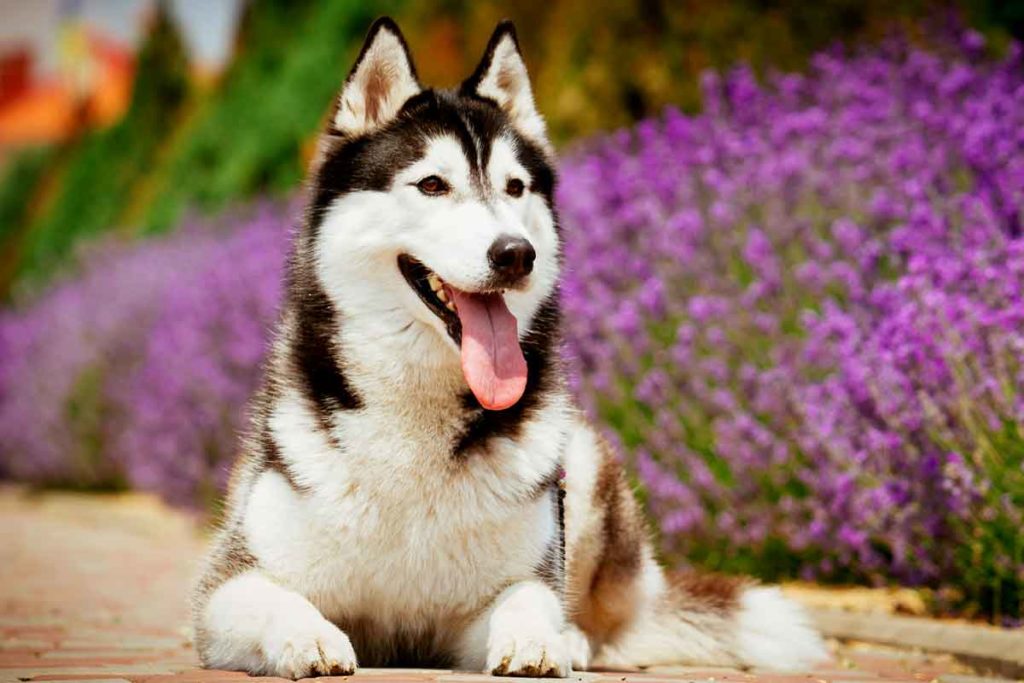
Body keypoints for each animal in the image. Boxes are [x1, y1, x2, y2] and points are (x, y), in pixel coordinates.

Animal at [192, 15, 827, 679]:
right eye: (432, 185)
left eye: (516, 187)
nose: (517, 253)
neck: (415, 427)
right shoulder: (225, 586)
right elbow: (271, 599)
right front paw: (307, 636)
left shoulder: (503, 593)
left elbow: (527, 599)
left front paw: (539, 640)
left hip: (582, 464)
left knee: (605, 627)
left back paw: (575, 639)